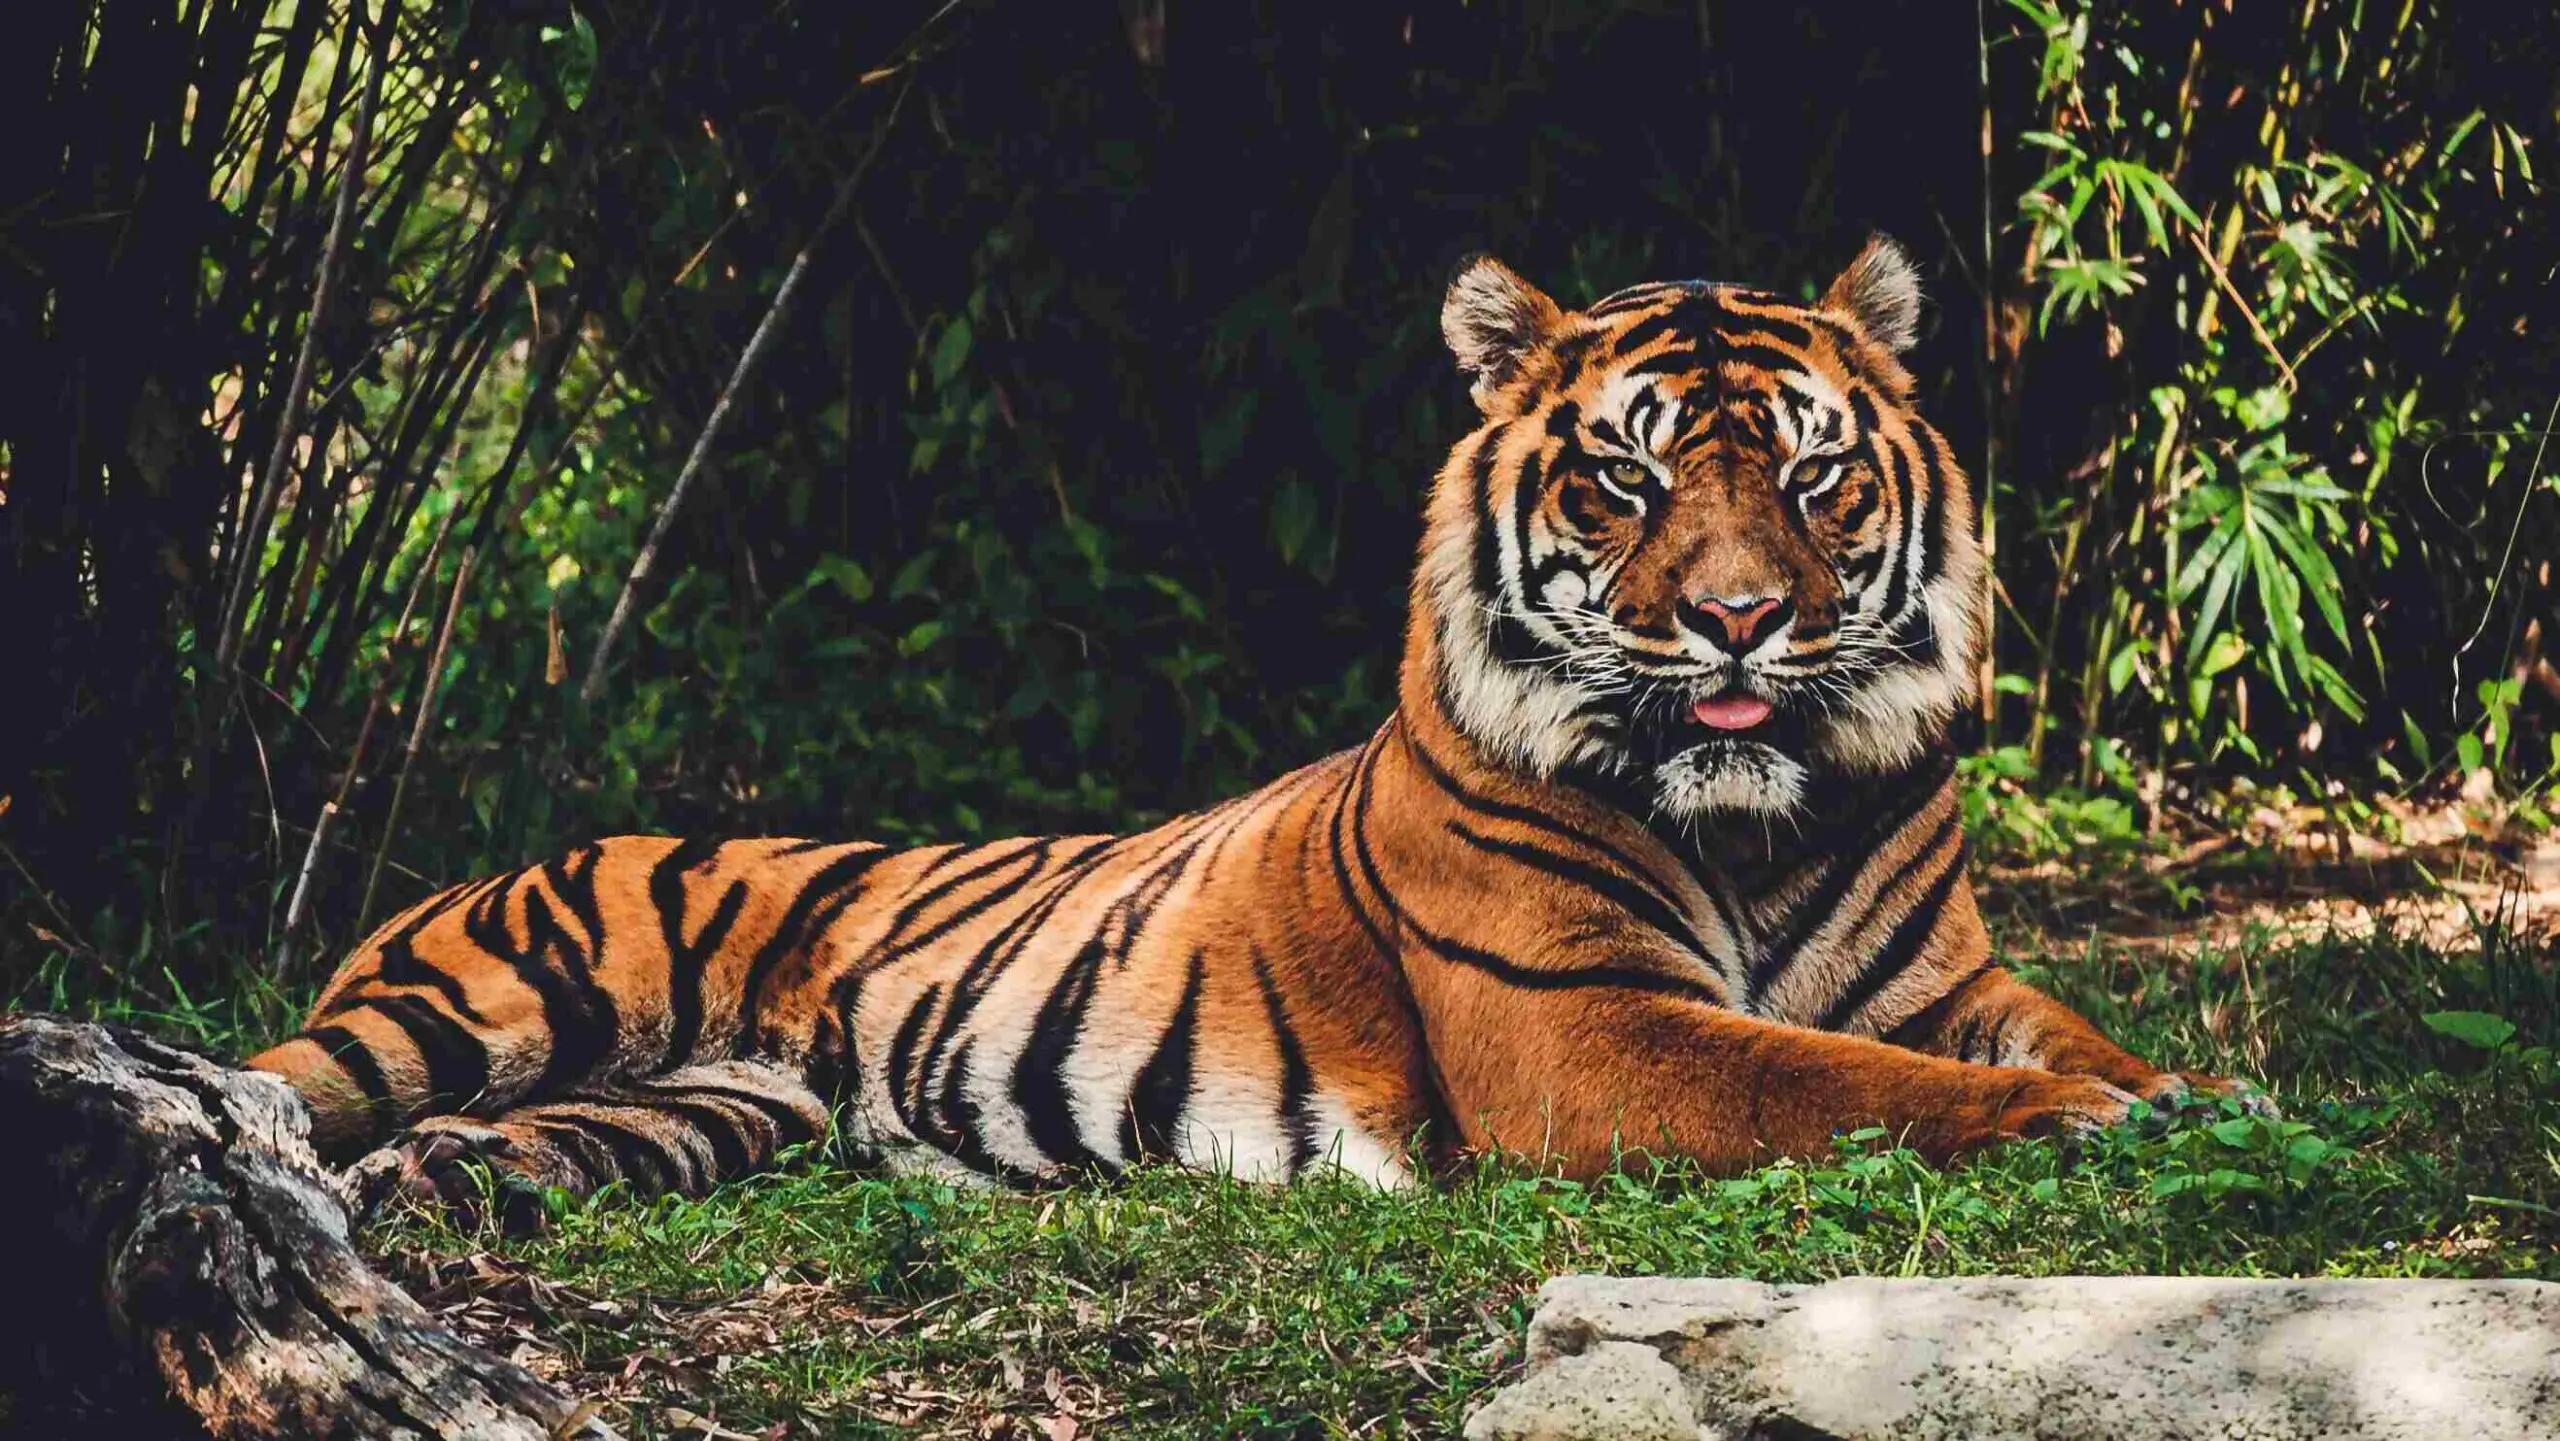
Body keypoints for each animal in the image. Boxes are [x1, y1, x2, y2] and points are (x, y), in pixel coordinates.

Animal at [249, 236, 2258, 1213]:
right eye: (1625, 477)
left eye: (1814, 474)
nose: (1742, 617)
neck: (1758, 816)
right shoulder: (1586, 1030)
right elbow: (1843, 1087)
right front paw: (2088, 1123)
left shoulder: (1945, 980)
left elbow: (2048, 1035)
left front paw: (2198, 1093)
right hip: (475, 1004)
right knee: (273, 1087)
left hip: (714, 1101)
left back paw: (457, 1185)